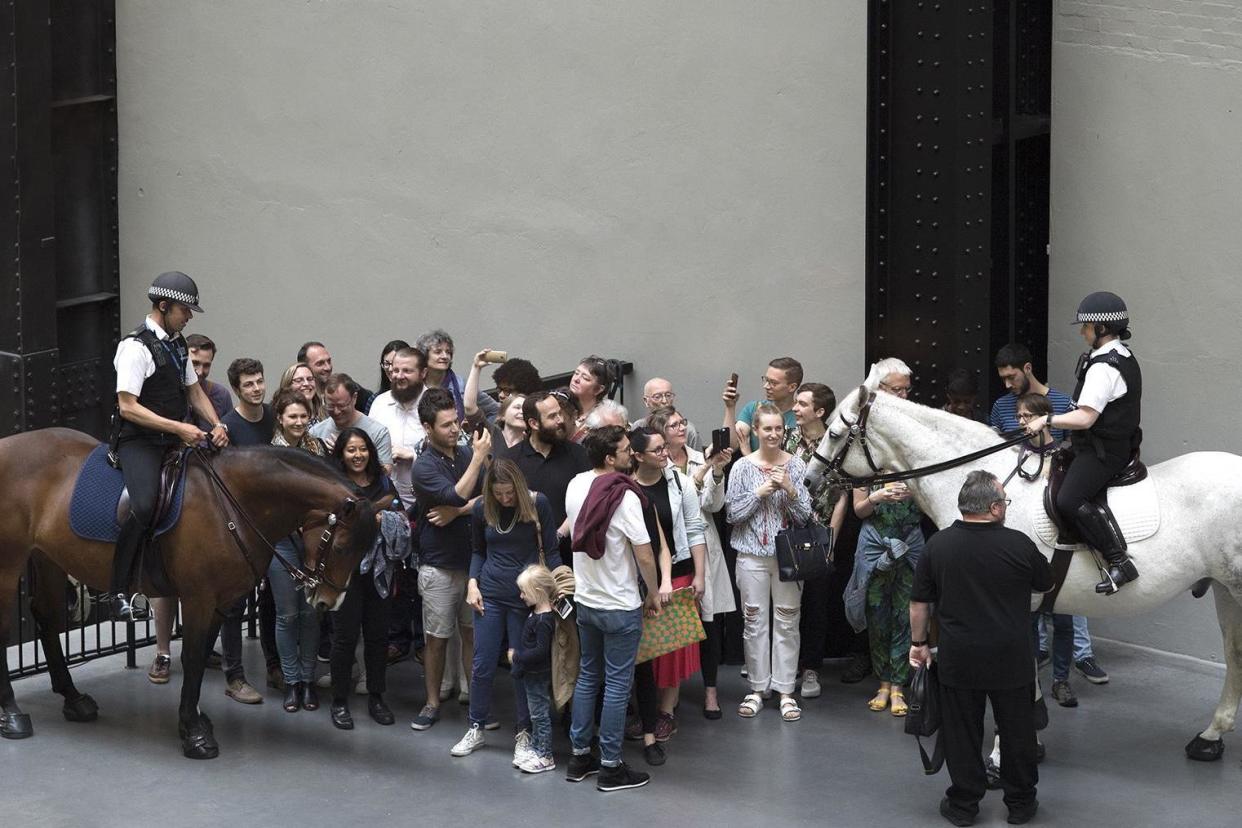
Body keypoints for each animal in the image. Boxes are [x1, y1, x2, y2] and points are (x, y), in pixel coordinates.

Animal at [0, 431, 377, 759]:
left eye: (365, 550)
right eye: (341, 547)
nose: (329, 601)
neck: (232, 504)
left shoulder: (221, 602)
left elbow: (200, 656)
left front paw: (195, 719)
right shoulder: (198, 598)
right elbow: (194, 658)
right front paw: (194, 734)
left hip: (48, 557)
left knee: (46, 619)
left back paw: (73, 699)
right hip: (10, 561)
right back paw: (12, 714)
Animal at [799, 379, 1242, 759]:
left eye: (835, 433)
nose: (809, 481)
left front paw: (1002, 754)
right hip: (1224, 589)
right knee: (1233, 653)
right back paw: (1211, 737)